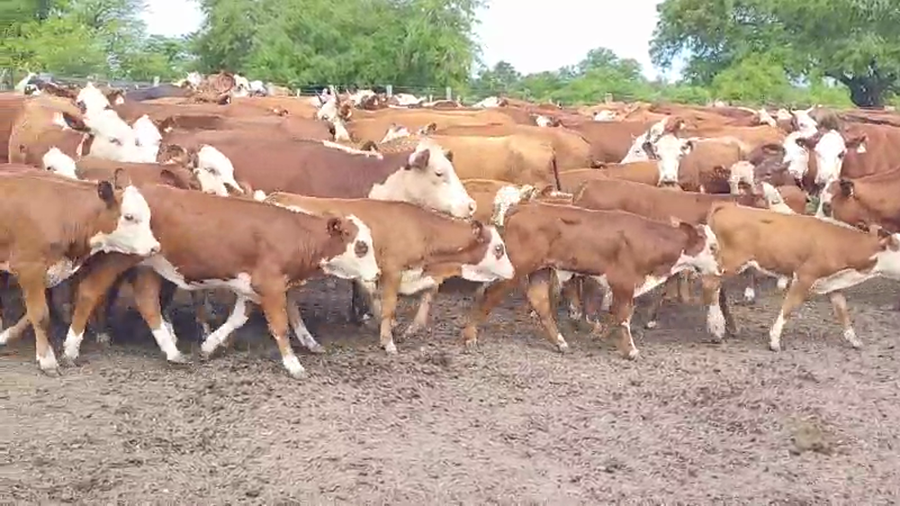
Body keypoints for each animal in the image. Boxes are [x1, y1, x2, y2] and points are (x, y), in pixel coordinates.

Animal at [0, 169, 160, 374]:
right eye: (129, 217)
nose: (155, 247)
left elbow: (32, 313)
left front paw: (5, 335)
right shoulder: (29, 267)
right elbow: (40, 314)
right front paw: (47, 360)